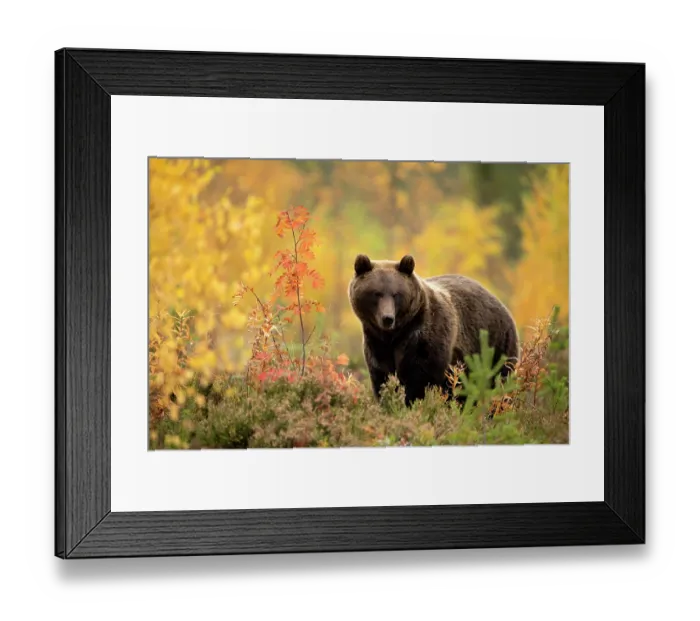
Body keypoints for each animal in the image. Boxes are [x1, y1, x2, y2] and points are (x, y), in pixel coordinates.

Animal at [348, 254, 519, 406]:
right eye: (376, 293)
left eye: (396, 294)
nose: (387, 318)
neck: (396, 334)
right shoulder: (376, 343)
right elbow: (382, 376)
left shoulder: (426, 338)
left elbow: (420, 379)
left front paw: (411, 402)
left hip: (495, 345)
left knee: (500, 382)